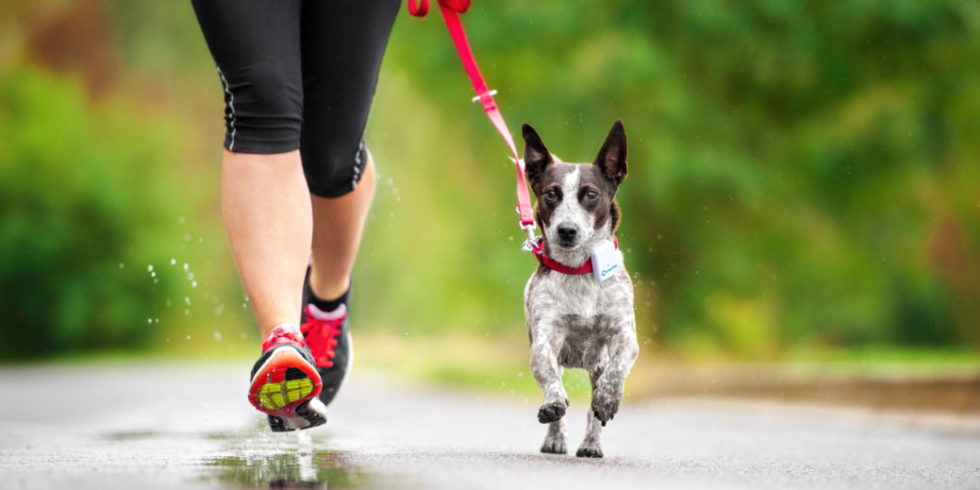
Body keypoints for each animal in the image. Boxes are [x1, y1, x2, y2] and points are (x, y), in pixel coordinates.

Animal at [524, 120, 640, 458]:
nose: (567, 230)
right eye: (551, 193)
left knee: (592, 411)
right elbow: (550, 380)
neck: (579, 270)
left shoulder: (624, 337)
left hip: (596, 365)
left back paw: (591, 443)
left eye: (590, 194)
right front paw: (553, 405)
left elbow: (616, 370)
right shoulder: (544, 341)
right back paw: (555, 438)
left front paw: (608, 399)